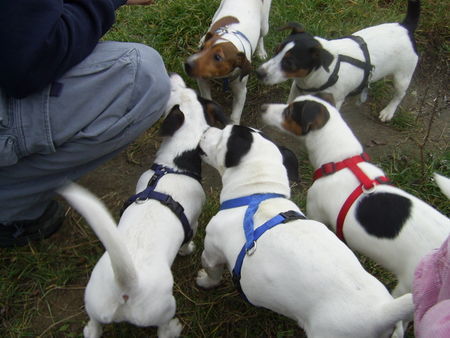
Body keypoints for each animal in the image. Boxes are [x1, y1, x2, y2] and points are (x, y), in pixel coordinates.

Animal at [59, 74, 229, 338]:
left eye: (186, 89)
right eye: (174, 91)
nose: (172, 75)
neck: (172, 165)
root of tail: (129, 285)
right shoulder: (193, 219)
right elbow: (189, 238)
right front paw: (187, 249)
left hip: (95, 304)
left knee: (93, 326)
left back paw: (90, 328)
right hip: (164, 308)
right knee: (163, 328)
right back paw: (174, 328)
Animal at [258, 0, 420, 121]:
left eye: (289, 63)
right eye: (276, 51)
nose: (259, 72)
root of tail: (405, 27)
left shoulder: (334, 101)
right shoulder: (296, 88)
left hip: (402, 76)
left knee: (399, 94)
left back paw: (388, 111)